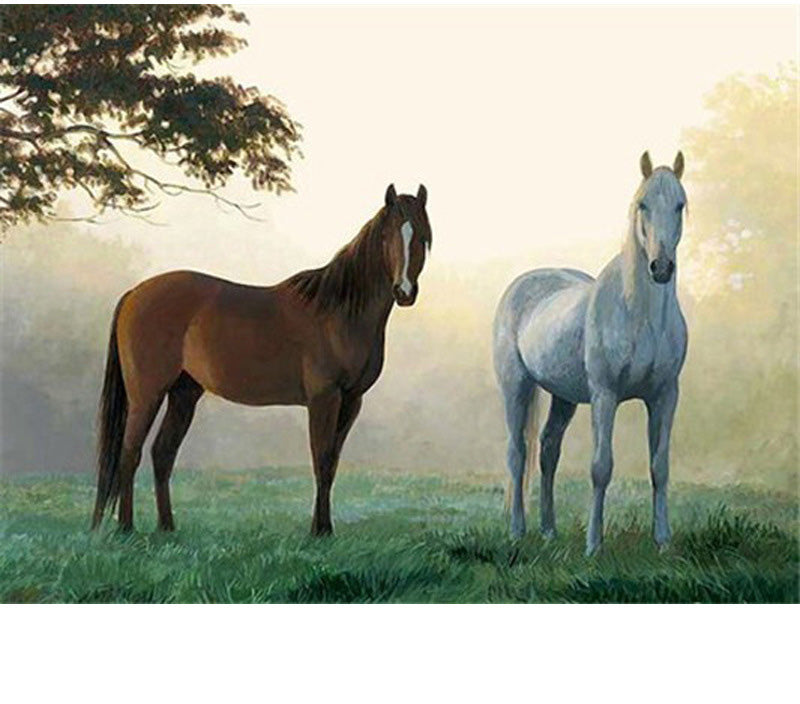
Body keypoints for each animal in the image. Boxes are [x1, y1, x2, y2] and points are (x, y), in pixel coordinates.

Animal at [92, 183, 432, 536]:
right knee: (130, 453)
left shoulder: (351, 400)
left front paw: (321, 527)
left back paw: (167, 528)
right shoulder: (324, 397)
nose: (404, 291)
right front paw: (320, 532)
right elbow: (321, 459)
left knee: (162, 453)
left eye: (422, 236)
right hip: (147, 394)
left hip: (184, 393)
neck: (338, 312)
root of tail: (134, 293)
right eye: (387, 236)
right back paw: (126, 528)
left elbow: (332, 464)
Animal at [493, 152, 687, 555]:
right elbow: (601, 467)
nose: (661, 268)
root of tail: (521, 284)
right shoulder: (605, 395)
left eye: (680, 204)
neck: (640, 315)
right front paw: (593, 546)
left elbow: (659, 467)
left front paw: (663, 542)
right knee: (518, 454)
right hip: (516, 387)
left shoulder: (665, 395)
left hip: (563, 397)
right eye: (643, 205)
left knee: (548, 450)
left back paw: (549, 530)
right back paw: (518, 529)